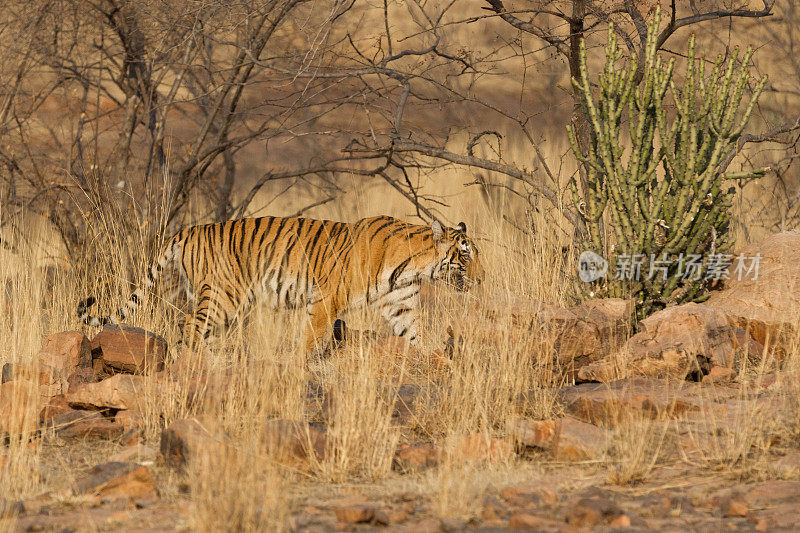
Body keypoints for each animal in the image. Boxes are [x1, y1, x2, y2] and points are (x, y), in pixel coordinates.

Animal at [78, 214, 484, 352]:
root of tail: (187, 231)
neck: (416, 266)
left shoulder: (401, 305)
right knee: (189, 327)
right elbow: (310, 339)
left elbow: (415, 335)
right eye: (465, 255)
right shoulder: (325, 300)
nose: (482, 279)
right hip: (224, 297)